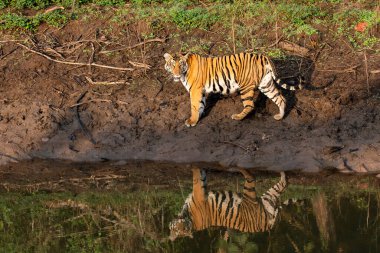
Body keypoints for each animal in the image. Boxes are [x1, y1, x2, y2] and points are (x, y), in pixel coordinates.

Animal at [163, 52, 302, 126]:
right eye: (172, 65)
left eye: (180, 65)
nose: (176, 74)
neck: (186, 71)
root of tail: (264, 56)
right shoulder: (200, 92)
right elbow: (200, 105)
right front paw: (198, 117)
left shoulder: (195, 91)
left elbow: (194, 106)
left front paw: (191, 121)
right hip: (266, 84)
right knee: (280, 98)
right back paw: (280, 116)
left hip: (246, 87)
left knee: (250, 105)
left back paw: (238, 117)